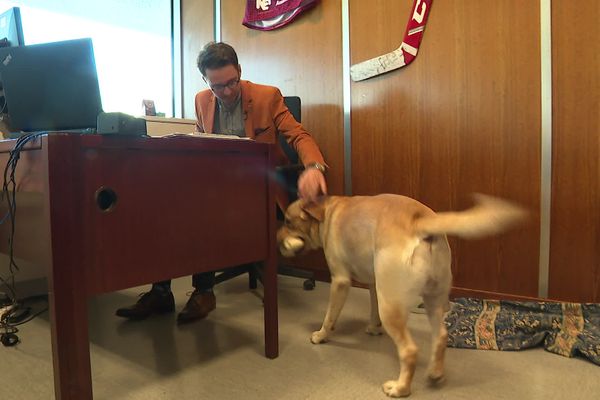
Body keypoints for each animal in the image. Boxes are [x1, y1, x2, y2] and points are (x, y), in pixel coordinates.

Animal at [276, 194, 524, 396]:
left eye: (287, 221)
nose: (277, 238)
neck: (327, 212)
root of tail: (420, 221)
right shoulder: (374, 283)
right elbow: (372, 308)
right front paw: (372, 328)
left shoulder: (340, 281)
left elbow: (329, 317)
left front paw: (320, 335)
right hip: (431, 299)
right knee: (441, 336)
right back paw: (435, 372)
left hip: (391, 306)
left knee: (409, 351)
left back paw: (400, 388)